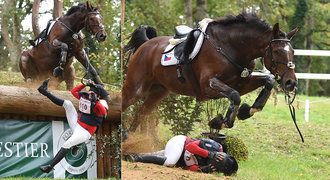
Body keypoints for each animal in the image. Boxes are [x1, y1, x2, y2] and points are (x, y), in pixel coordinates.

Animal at [123, 13, 300, 132]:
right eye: (277, 51)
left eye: (292, 51)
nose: (291, 82)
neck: (232, 47)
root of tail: (146, 45)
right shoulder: (208, 86)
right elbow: (234, 95)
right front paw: (220, 122)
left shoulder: (242, 81)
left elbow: (268, 81)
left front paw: (247, 111)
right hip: (135, 89)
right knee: (125, 103)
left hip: (158, 91)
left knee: (141, 113)